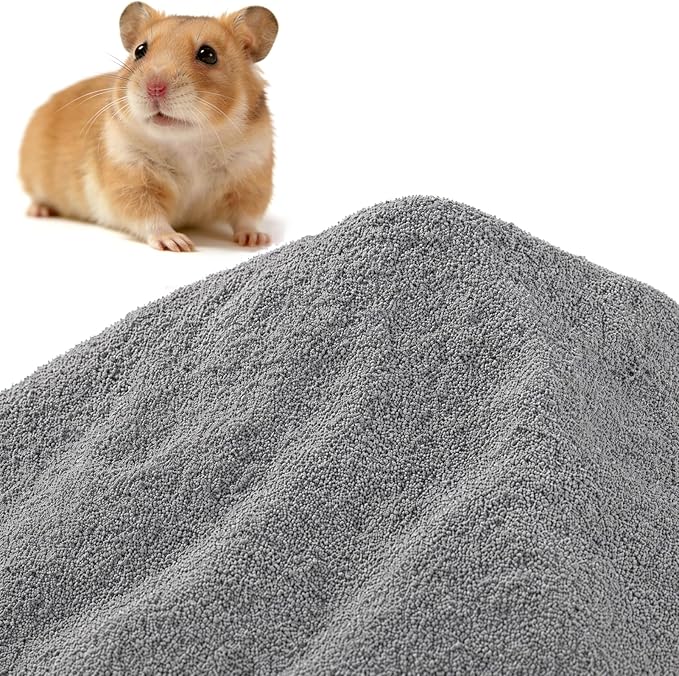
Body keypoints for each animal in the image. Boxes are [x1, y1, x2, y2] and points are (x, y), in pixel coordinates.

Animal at [19, 3, 278, 252]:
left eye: (208, 54)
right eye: (140, 50)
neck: (188, 142)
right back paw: (39, 211)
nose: (154, 88)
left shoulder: (252, 174)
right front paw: (177, 243)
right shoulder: (130, 177)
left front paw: (257, 240)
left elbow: (247, 216)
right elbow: (149, 217)